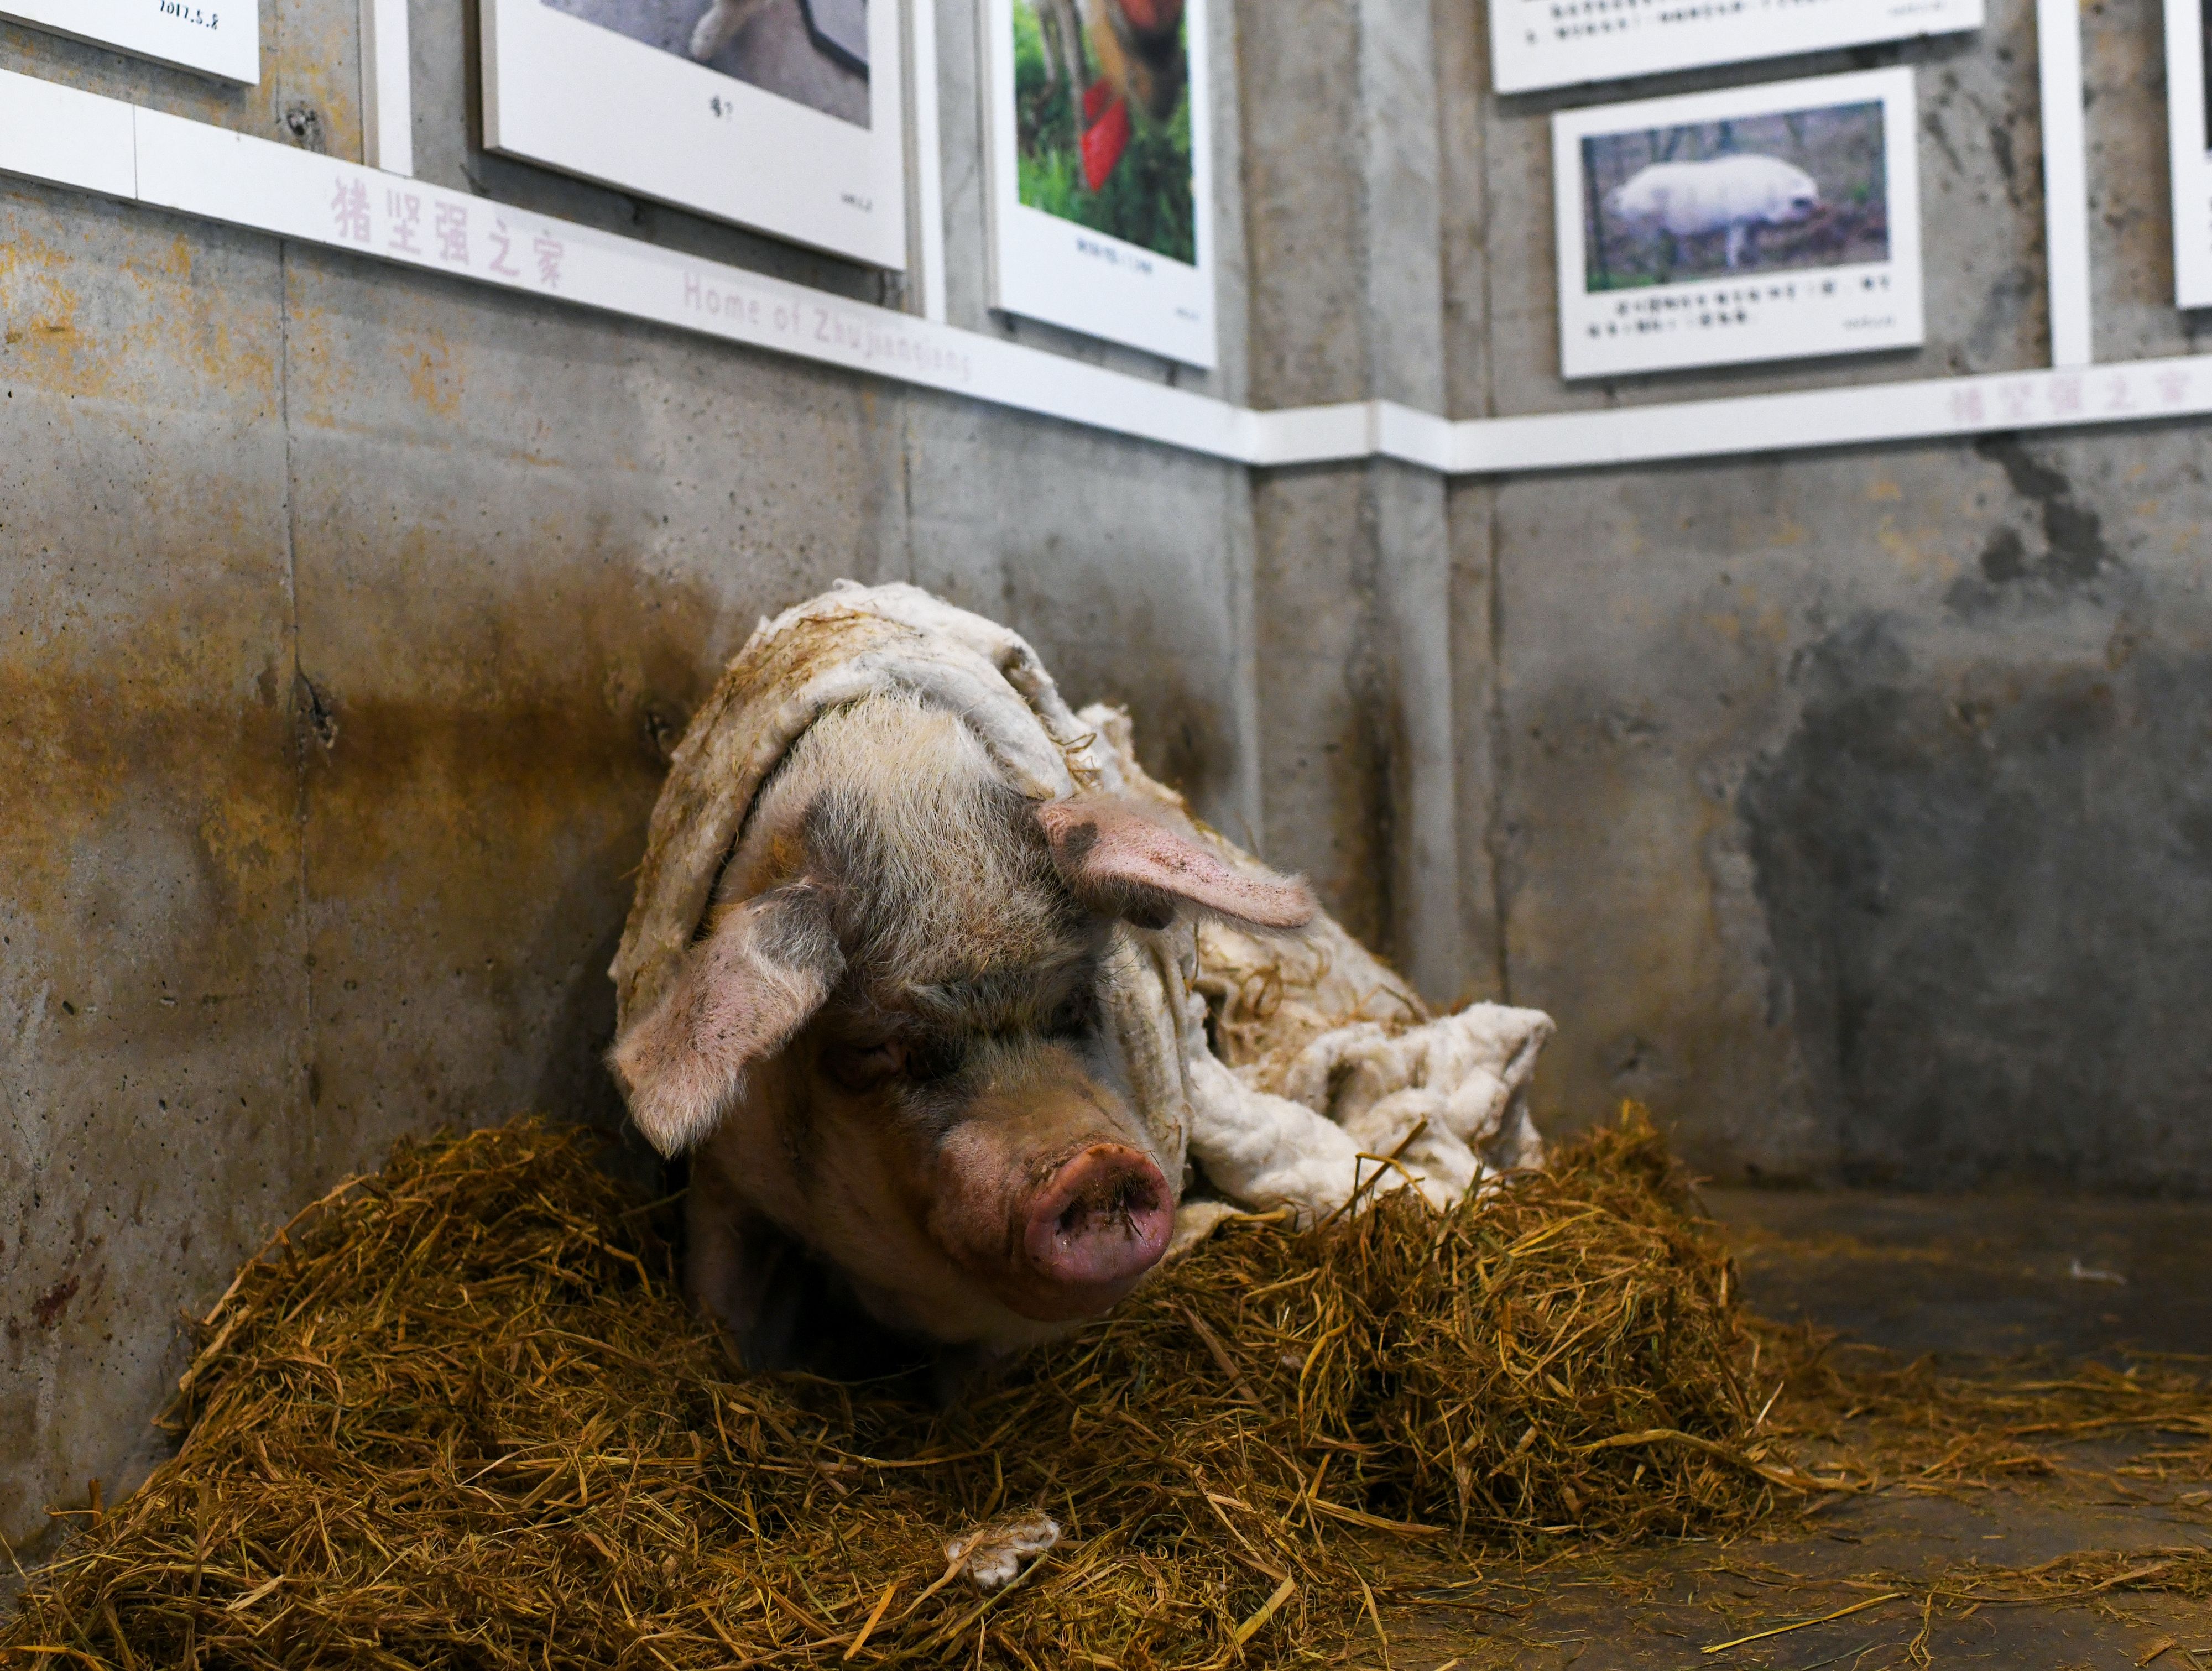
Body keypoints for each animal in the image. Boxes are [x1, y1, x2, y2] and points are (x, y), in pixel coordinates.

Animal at [1601, 153, 1823, 270]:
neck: (1773, 192)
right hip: (1644, 224)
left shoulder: (1752, 223)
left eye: (1815, 196)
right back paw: (1657, 270)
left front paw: (1761, 262)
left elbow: (1752, 242)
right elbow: (1735, 244)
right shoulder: (1737, 220)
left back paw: (1685, 265)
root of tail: (1626, 191)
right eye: (1804, 202)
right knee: (1648, 249)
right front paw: (1734, 268)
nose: (1820, 211)